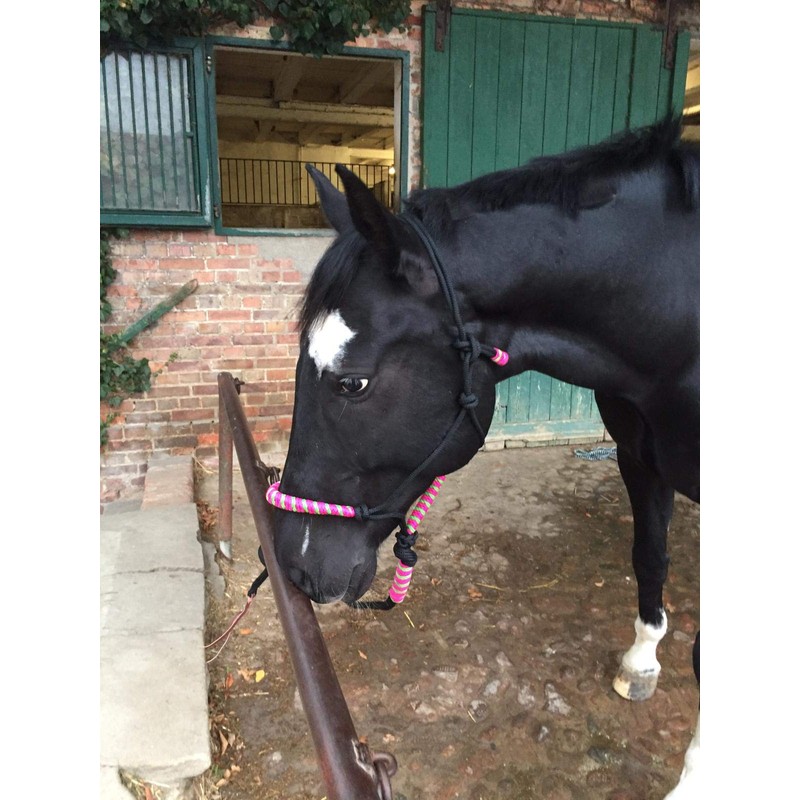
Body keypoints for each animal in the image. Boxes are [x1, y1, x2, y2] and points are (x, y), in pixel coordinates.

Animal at [268, 117, 700, 797]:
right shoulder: (640, 457)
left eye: (352, 383)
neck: (679, 313)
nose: (295, 565)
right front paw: (641, 661)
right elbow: (649, 555)